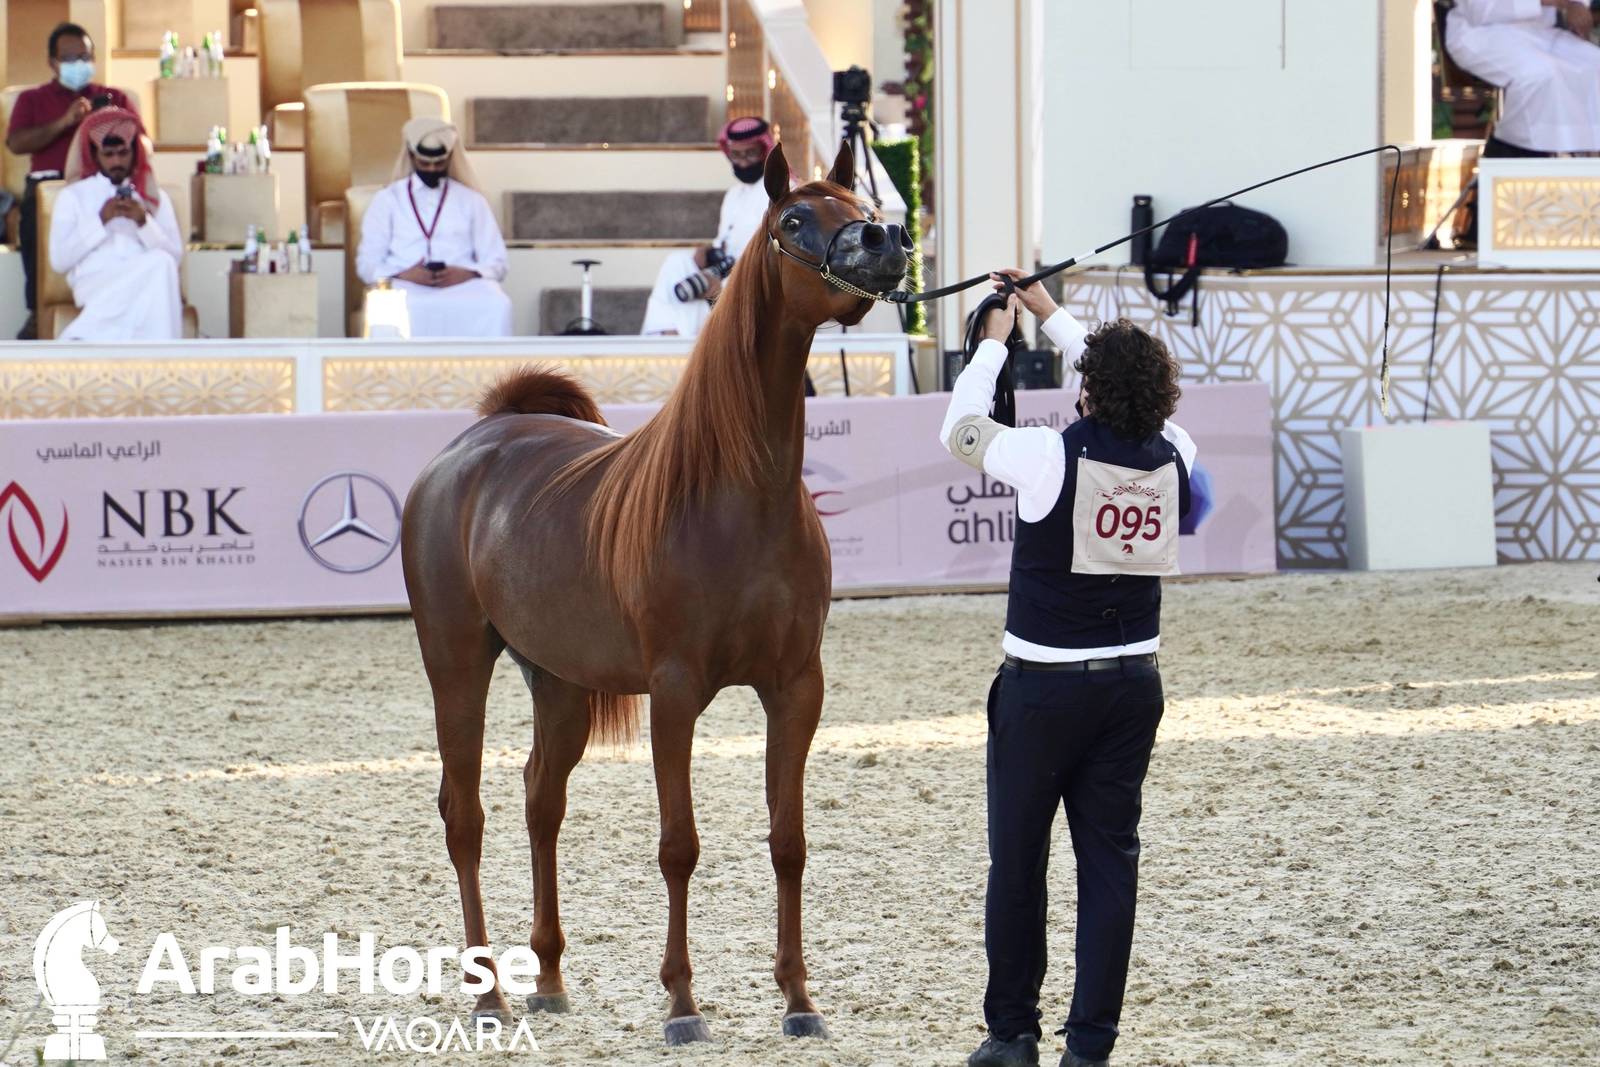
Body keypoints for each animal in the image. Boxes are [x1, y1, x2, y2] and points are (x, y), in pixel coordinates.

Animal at [401, 141, 910, 1046]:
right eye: (793, 220)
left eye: (861, 203)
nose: (884, 243)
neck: (740, 493)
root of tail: (476, 441)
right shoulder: (675, 694)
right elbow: (680, 845)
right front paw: (681, 1003)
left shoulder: (796, 688)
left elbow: (789, 841)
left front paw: (799, 999)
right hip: (456, 664)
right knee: (466, 814)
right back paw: (490, 993)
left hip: (559, 683)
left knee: (541, 800)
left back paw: (550, 978)